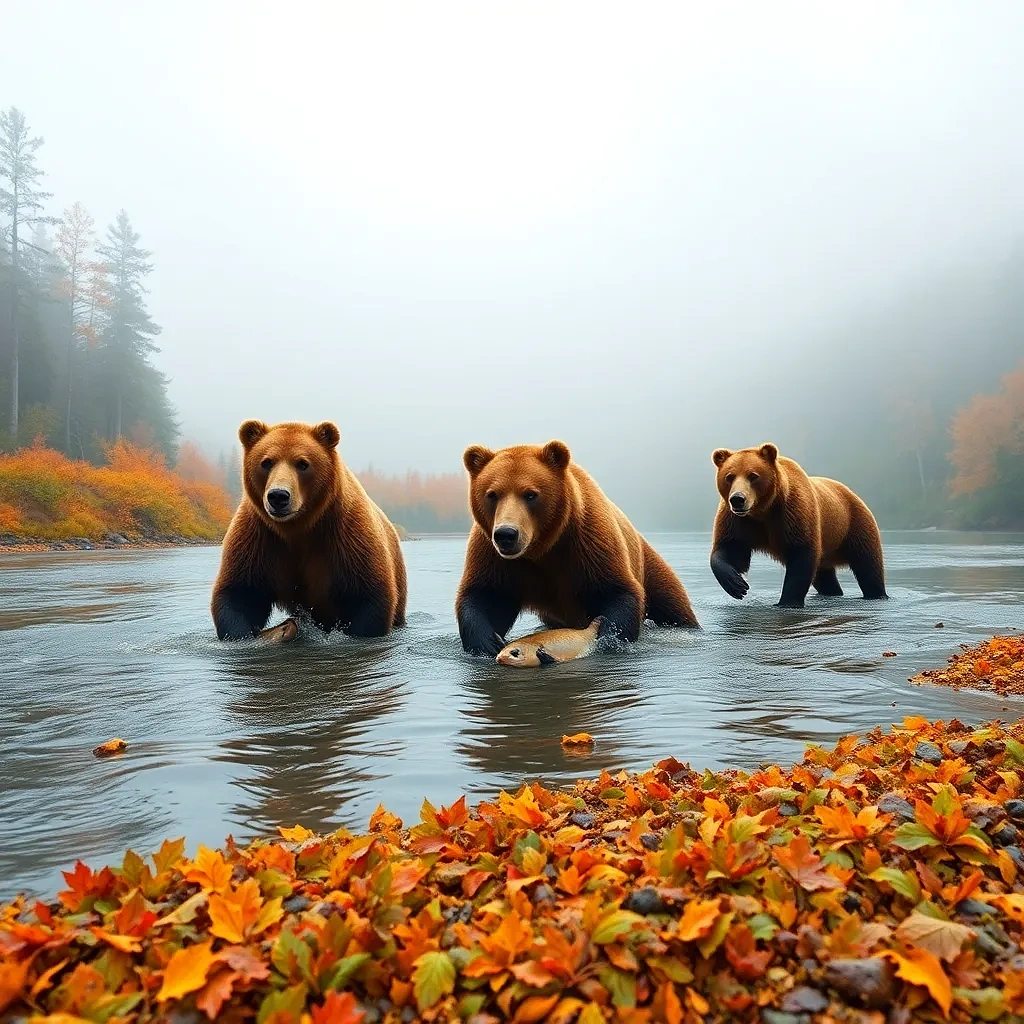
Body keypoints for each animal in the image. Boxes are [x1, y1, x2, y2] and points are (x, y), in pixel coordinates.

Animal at [211, 419, 407, 640]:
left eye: (303, 463)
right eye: (266, 462)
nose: (278, 496)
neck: (298, 526)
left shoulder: (347, 536)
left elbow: (367, 595)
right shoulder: (258, 536)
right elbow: (240, 594)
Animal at [456, 439, 699, 657]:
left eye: (531, 494)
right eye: (492, 494)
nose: (506, 534)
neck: (542, 547)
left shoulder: (587, 541)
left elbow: (617, 590)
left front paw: (606, 638)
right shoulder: (493, 553)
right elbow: (487, 596)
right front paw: (488, 642)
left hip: (648, 564)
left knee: (670, 602)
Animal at [710, 443, 887, 609]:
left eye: (753, 476)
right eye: (729, 476)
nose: (738, 499)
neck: (763, 511)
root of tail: (852, 493)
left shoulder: (792, 513)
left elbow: (801, 555)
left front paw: (787, 601)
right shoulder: (738, 521)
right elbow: (731, 549)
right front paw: (737, 584)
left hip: (853, 525)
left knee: (868, 565)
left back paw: (877, 594)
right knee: (824, 576)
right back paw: (833, 592)